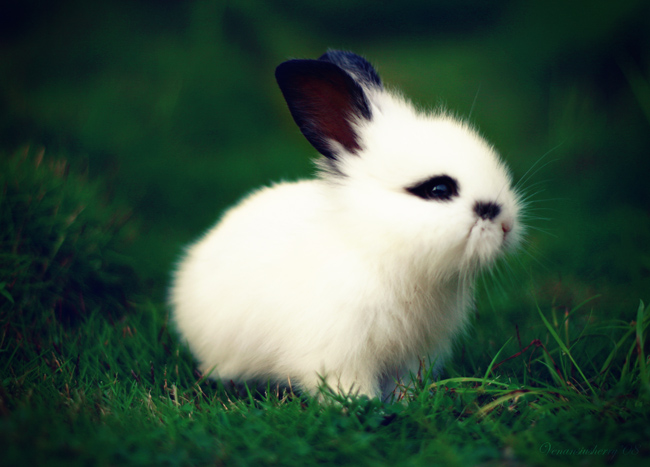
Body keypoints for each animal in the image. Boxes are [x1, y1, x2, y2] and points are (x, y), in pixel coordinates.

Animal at [169, 50, 523, 401]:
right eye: (438, 189)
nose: (506, 225)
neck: (376, 247)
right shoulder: (339, 351)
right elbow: (347, 386)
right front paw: (361, 406)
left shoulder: (413, 356)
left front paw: (405, 403)